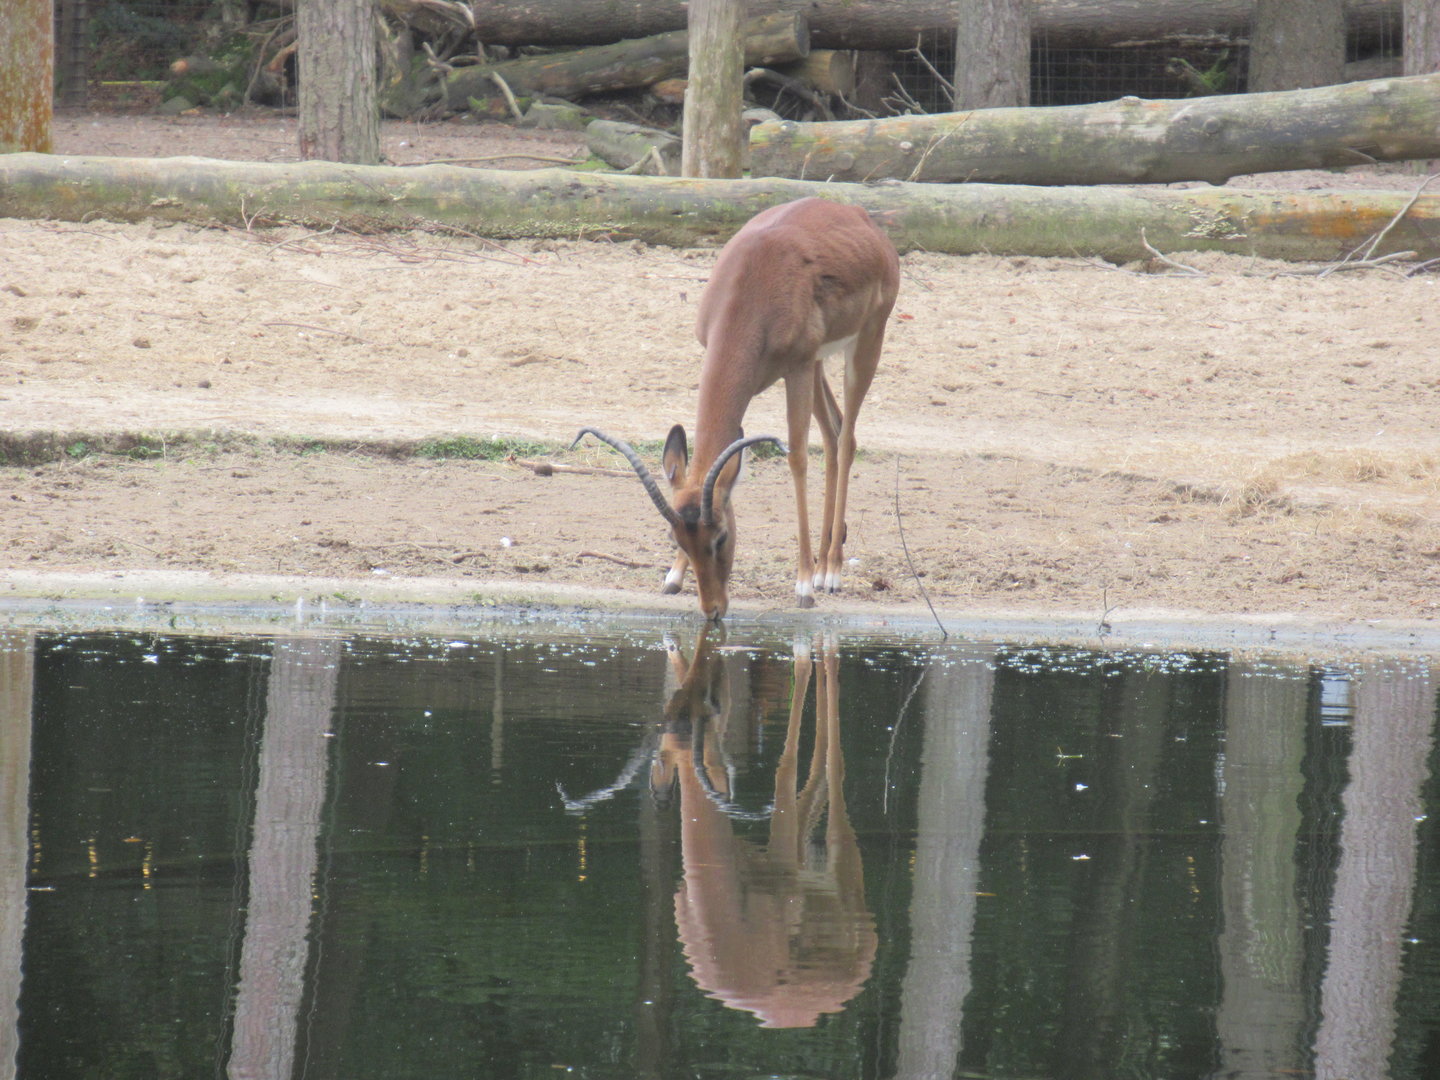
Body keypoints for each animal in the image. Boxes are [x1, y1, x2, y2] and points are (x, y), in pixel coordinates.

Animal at [574, 197, 900, 620]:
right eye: (675, 538)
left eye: (721, 537)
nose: (713, 610)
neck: (752, 286)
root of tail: (861, 219)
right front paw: (672, 578)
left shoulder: (796, 367)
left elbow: (797, 459)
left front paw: (802, 586)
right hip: (817, 364)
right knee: (834, 429)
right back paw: (825, 563)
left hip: (863, 343)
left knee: (846, 440)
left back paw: (829, 573)